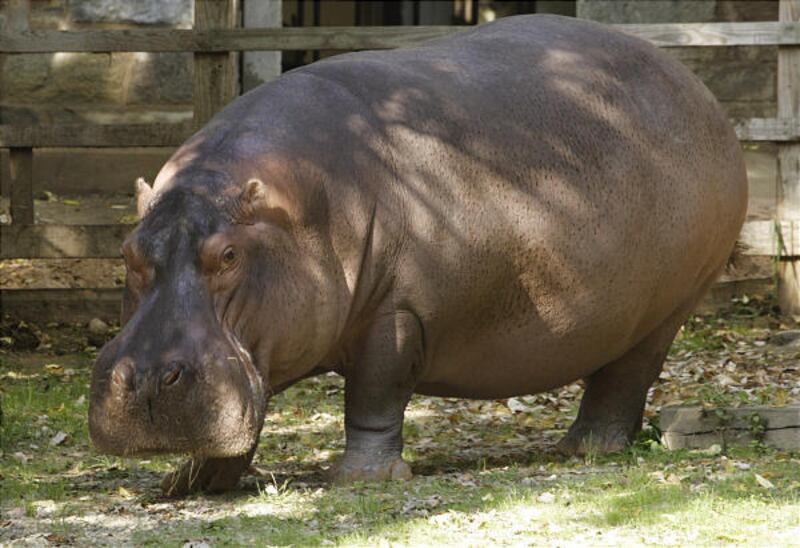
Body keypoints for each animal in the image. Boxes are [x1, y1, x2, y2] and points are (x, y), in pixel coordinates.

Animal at [89, 14, 747, 494]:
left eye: (227, 256)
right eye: (127, 250)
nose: (144, 379)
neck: (298, 211)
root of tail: (698, 91)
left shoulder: (397, 312)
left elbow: (375, 392)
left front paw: (361, 479)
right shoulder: (264, 345)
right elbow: (242, 419)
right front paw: (187, 484)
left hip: (669, 309)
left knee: (626, 375)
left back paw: (587, 448)